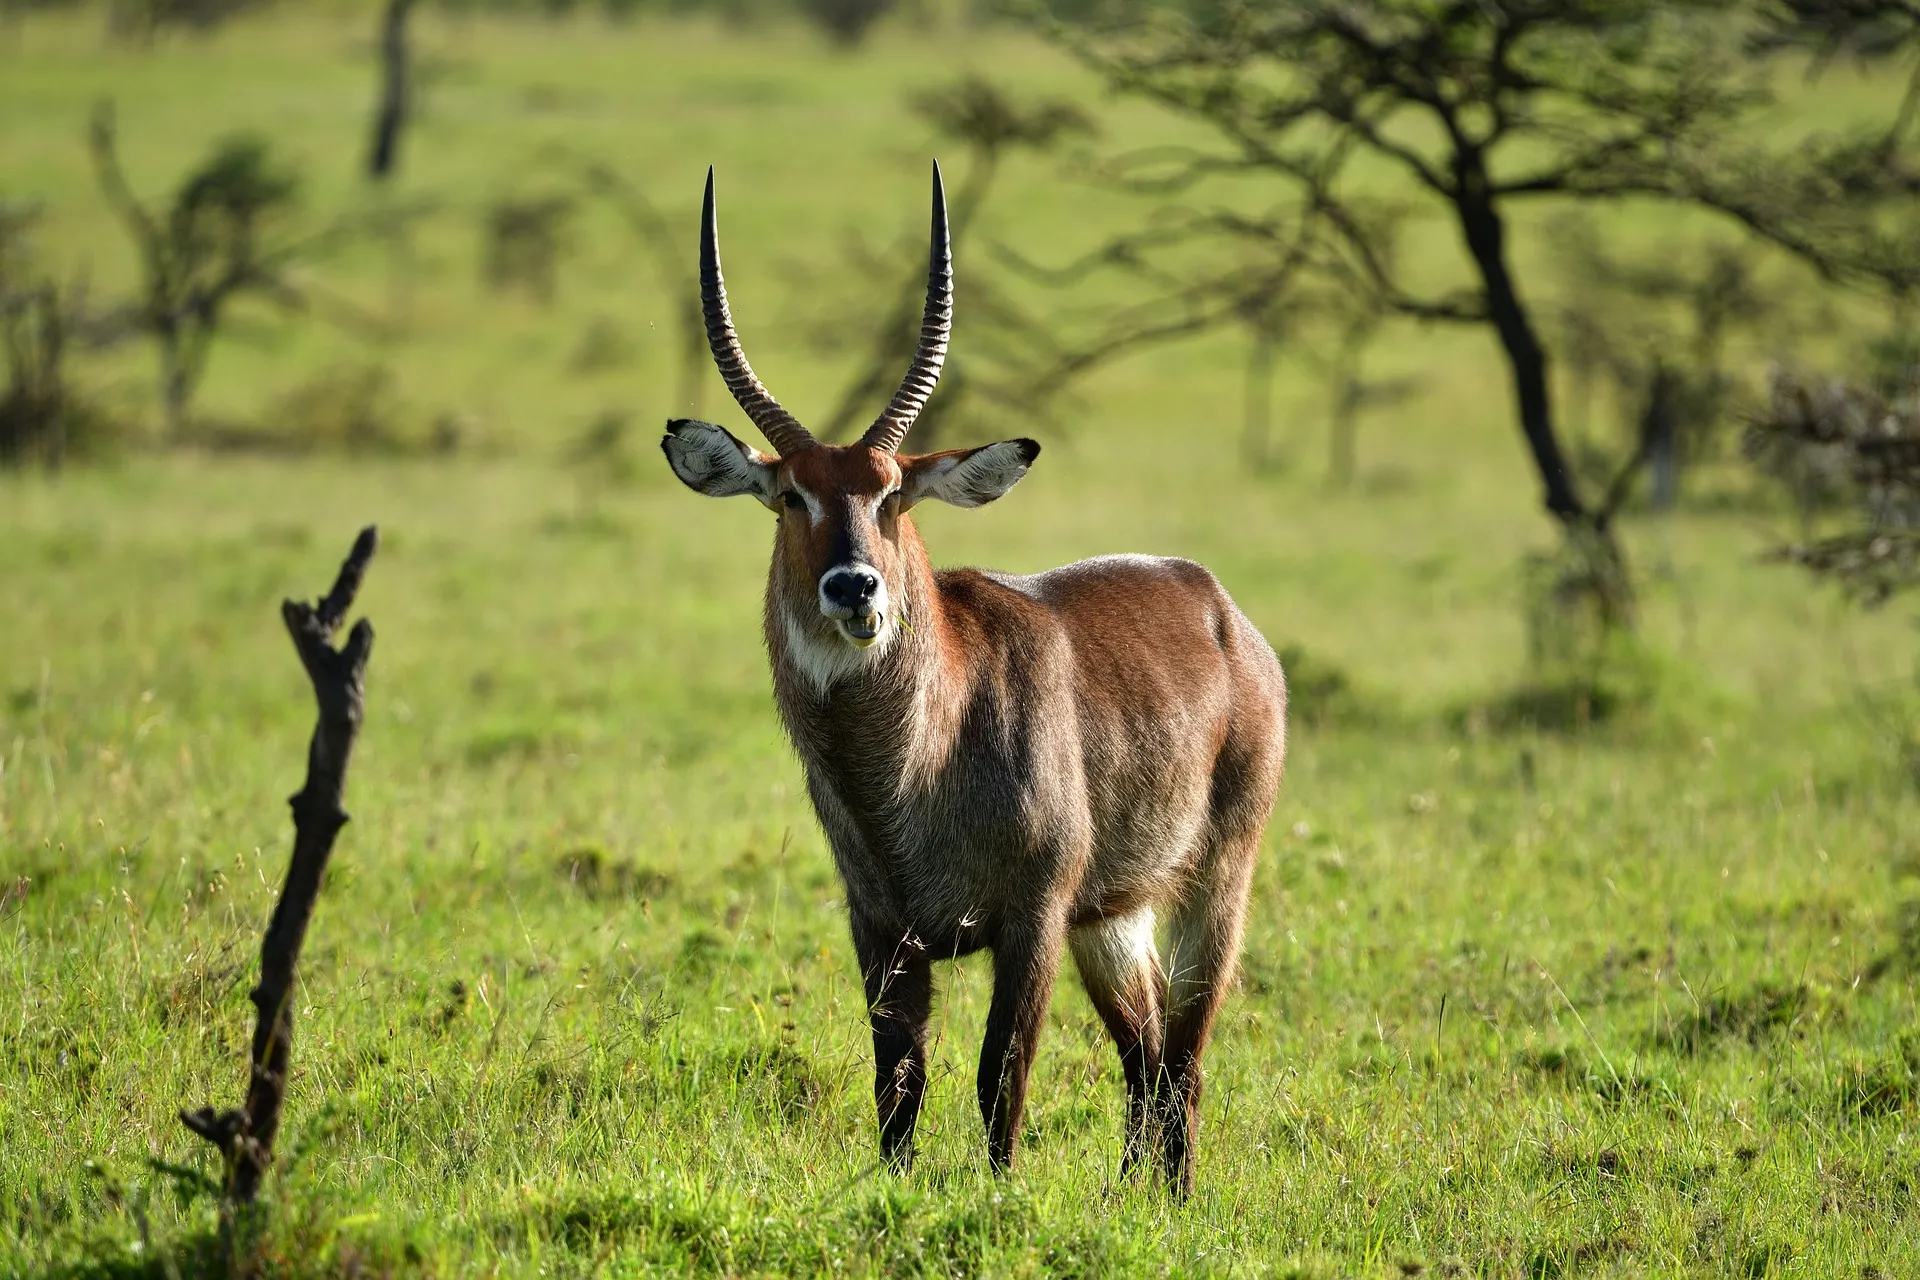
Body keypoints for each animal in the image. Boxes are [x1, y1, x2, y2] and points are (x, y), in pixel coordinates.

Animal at [664, 163, 1290, 1189]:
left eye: (892, 491)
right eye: (791, 494)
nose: (854, 586)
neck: (909, 769)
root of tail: (1219, 606)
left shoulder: (1030, 919)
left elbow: (1003, 1072)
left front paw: (997, 1199)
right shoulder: (881, 928)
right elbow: (898, 1082)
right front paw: (895, 1190)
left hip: (1212, 882)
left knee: (1185, 1055)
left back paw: (1177, 1197)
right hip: (1111, 918)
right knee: (1145, 1050)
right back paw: (1134, 1197)